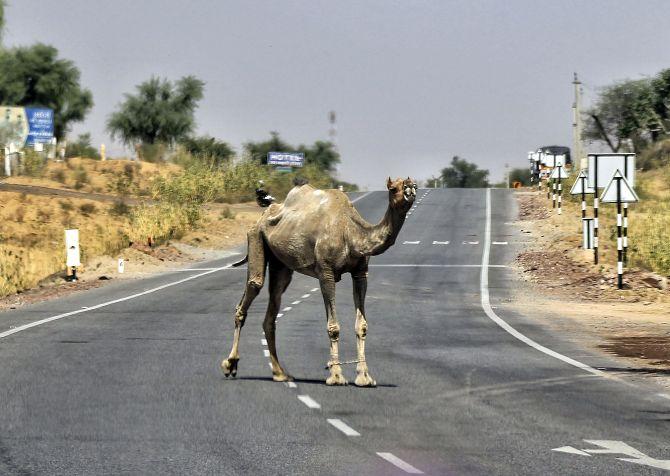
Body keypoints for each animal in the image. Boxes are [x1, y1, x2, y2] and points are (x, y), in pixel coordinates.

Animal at [223, 177, 418, 384]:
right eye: (393, 188)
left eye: (413, 184)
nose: (410, 190)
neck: (350, 233)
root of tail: (262, 215)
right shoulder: (326, 272)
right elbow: (333, 326)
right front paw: (336, 376)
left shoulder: (360, 273)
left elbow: (362, 326)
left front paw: (364, 377)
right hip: (256, 238)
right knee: (253, 286)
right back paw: (230, 364)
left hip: (280, 263)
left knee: (273, 304)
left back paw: (280, 373)